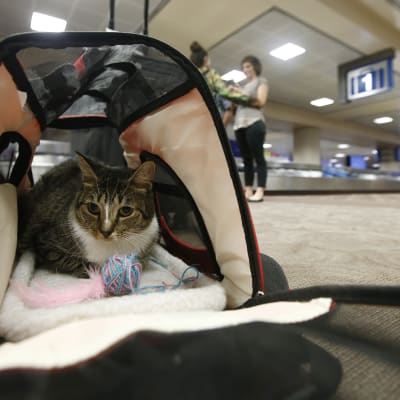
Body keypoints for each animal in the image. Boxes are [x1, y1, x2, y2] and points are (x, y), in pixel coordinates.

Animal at [17, 153, 159, 278]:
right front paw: (97, 273)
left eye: (126, 210)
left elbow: (142, 261)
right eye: (93, 208)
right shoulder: (45, 244)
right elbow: (77, 262)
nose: (105, 231)